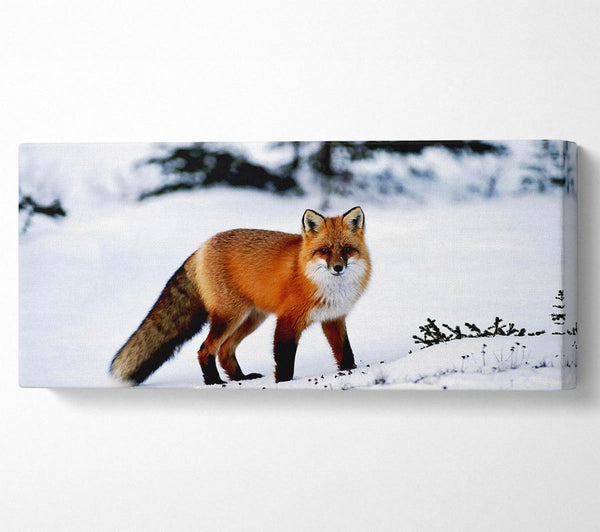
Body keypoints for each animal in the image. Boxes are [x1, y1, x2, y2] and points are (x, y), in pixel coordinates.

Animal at [109, 206, 370, 384]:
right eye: (324, 250)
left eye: (347, 249)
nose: (338, 267)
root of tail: (202, 247)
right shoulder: (287, 320)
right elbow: (284, 360)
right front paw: (284, 383)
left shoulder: (333, 318)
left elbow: (345, 352)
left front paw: (350, 372)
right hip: (230, 316)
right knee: (205, 349)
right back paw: (215, 382)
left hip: (252, 318)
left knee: (225, 350)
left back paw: (241, 378)